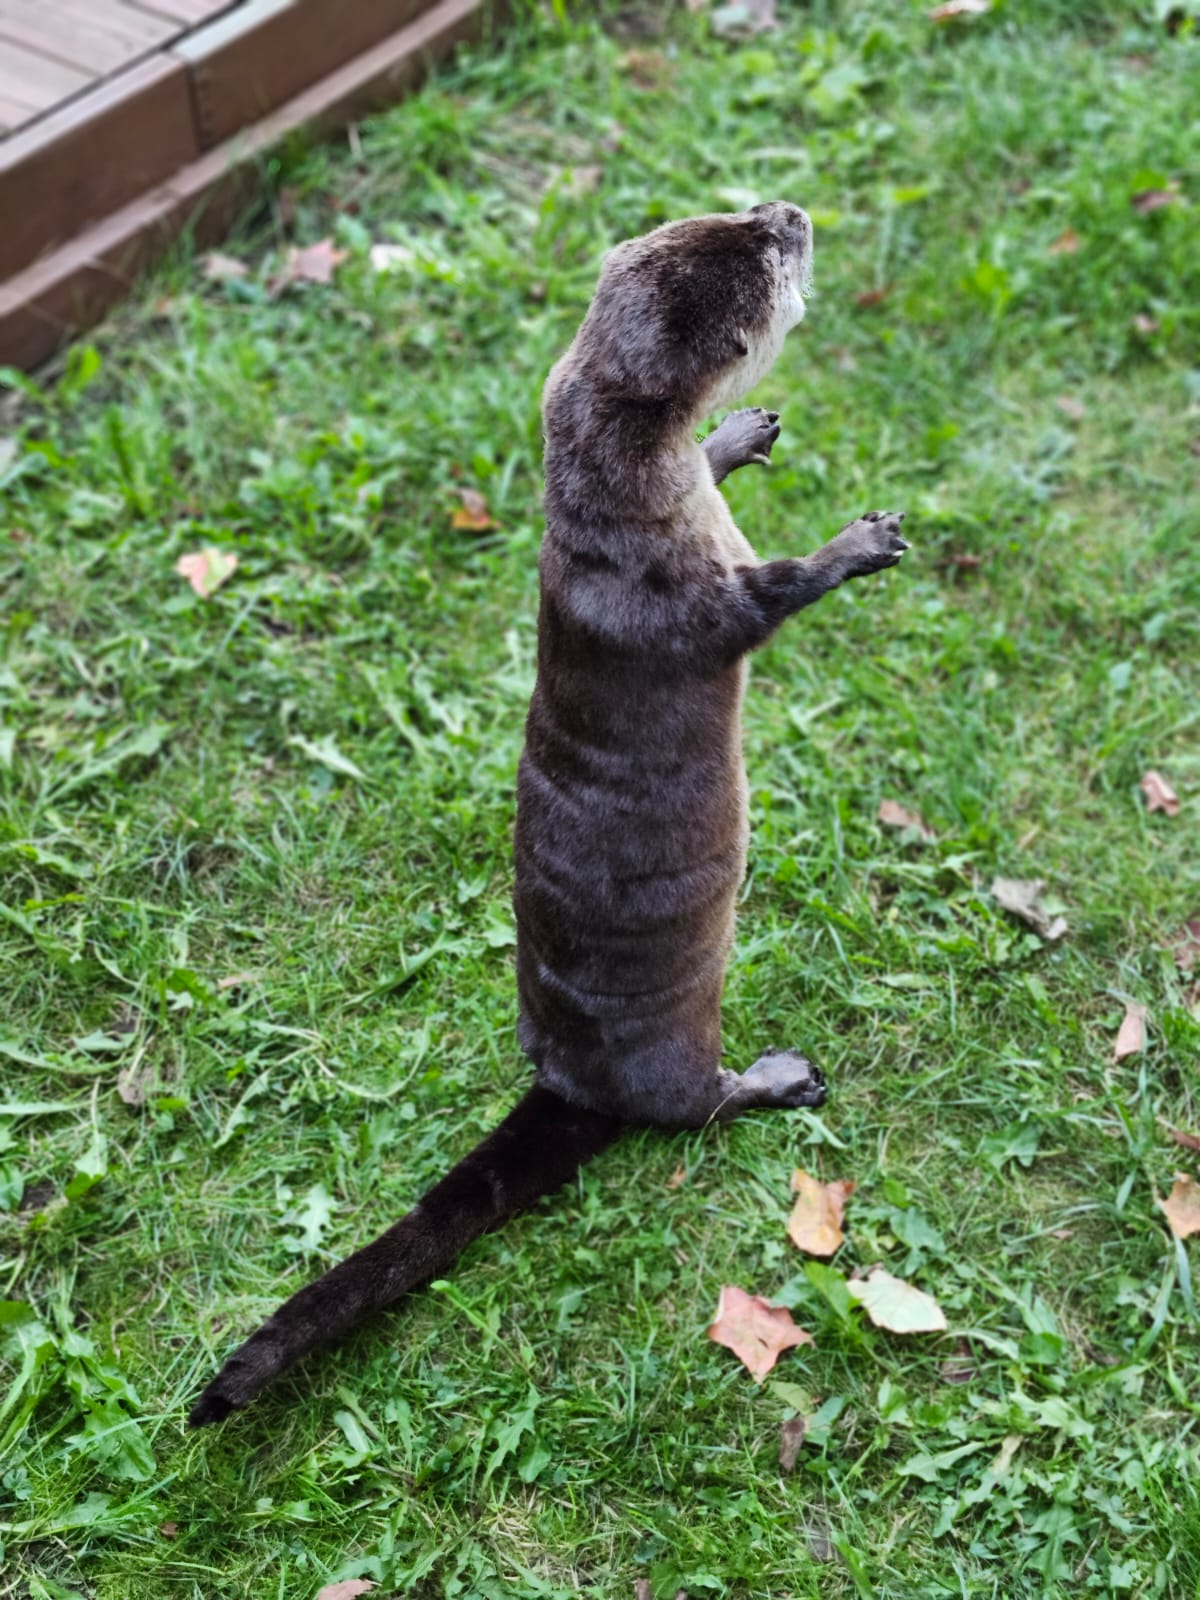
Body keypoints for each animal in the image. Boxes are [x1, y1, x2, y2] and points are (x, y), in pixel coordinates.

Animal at [188, 201, 907, 1427]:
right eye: (764, 263)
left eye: (738, 212)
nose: (791, 212)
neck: (622, 514)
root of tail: (572, 1076)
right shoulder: (692, 594)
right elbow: (770, 598)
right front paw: (856, 544)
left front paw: (739, 433)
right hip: (677, 1039)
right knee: (689, 1110)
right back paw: (775, 1078)